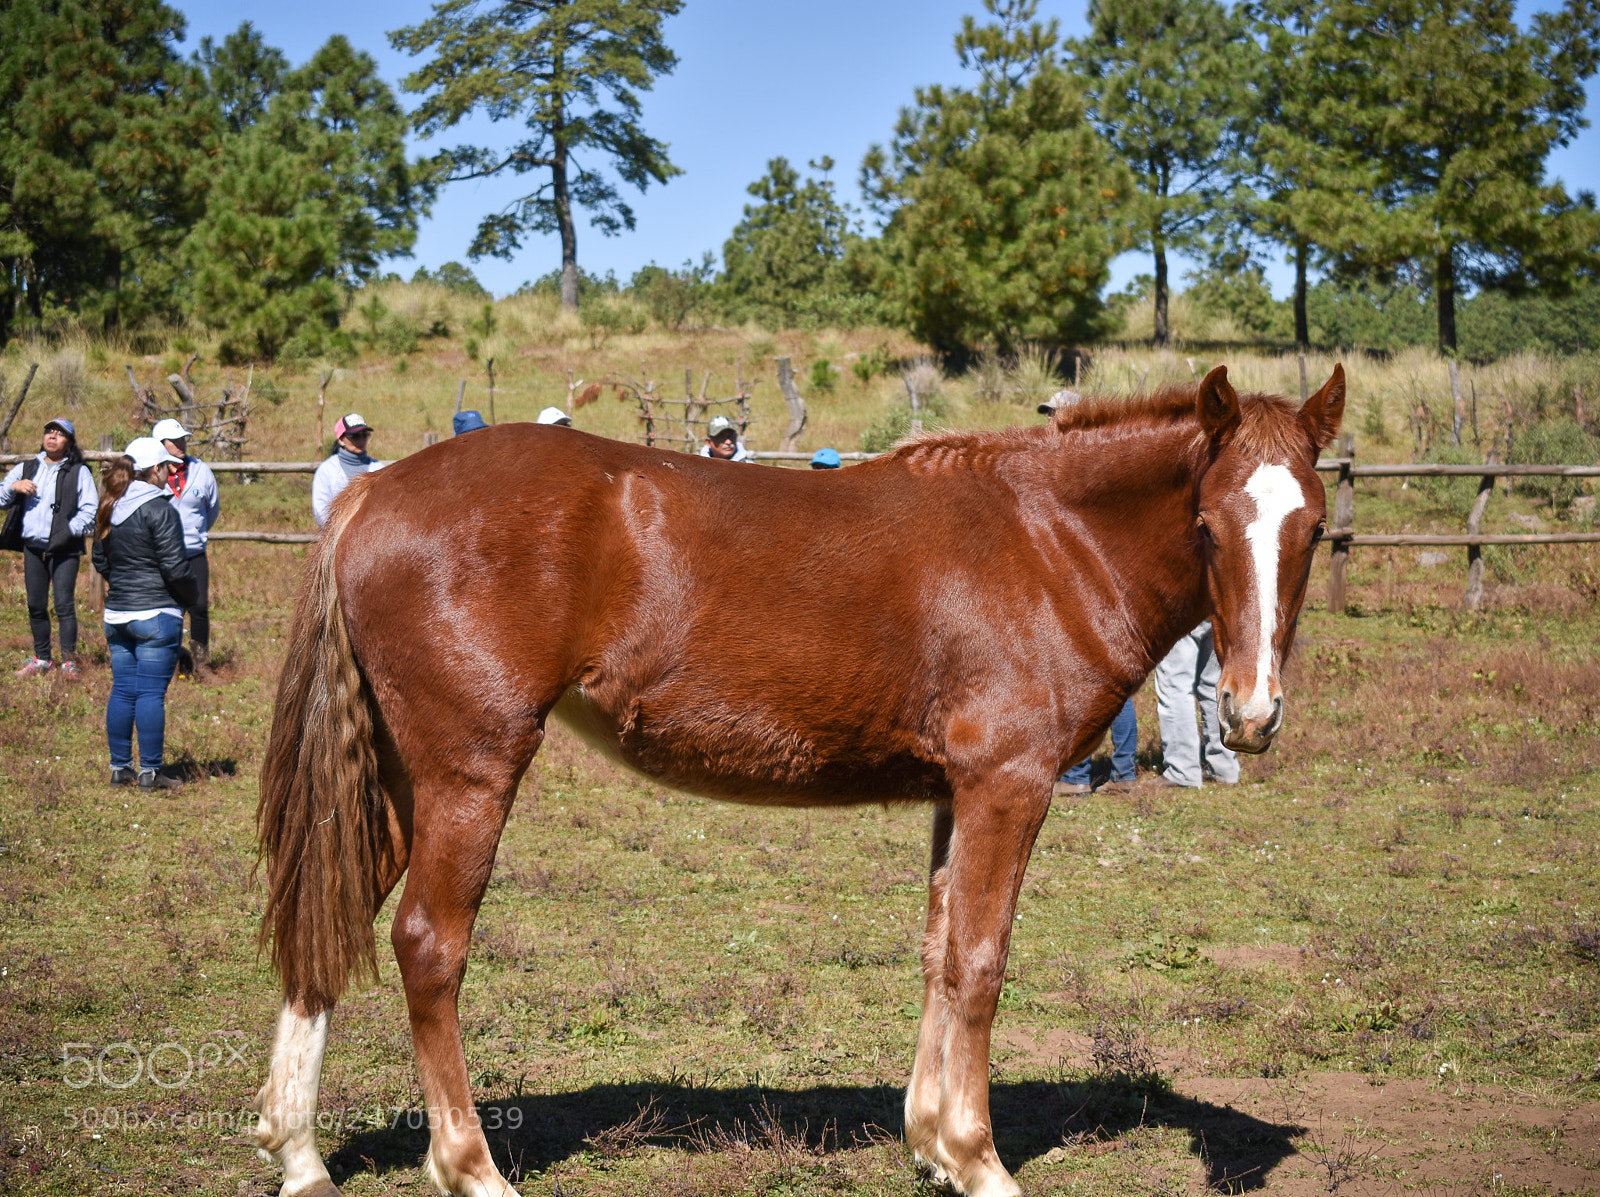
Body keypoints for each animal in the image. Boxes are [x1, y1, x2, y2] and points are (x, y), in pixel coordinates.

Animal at [252, 364, 1344, 1197]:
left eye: (1314, 531)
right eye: (1208, 525)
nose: (1251, 714)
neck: (1043, 541)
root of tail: (370, 493)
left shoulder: (954, 794)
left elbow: (938, 953)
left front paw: (931, 1145)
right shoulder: (1007, 786)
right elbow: (981, 960)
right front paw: (980, 1161)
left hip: (401, 782)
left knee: (328, 916)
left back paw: (300, 1156)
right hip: (469, 775)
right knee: (427, 946)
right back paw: (471, 1167)